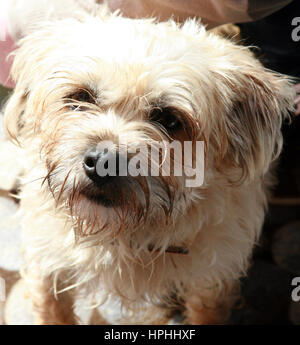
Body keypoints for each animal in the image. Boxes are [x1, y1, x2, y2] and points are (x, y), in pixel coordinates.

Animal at [1, 8, 294, 322]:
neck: (126, 234)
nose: (101, 162)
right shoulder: (47, 261)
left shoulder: (212, 278)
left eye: (169, 119)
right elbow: (52, 311)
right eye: (81, 97)